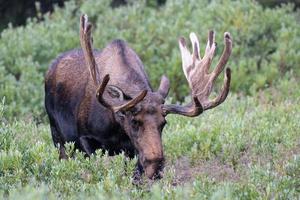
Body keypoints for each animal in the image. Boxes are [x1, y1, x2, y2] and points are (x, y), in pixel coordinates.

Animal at [44, 14, 232, 180]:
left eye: (163, 123)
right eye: (134, 122)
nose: (155, 166)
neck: (114, 128)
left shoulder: (131, 151)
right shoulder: (85, 139)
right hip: (57, 134)